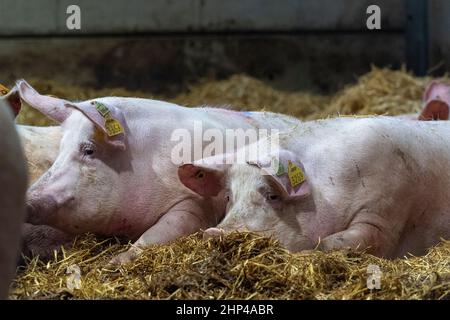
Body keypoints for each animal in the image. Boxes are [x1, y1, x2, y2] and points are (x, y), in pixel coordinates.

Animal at [8, 79, 298, 262]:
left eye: (88, 150)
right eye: (59, 150)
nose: (28, 201)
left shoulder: (197, 200)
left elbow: (164, 229)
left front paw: (116, 261)